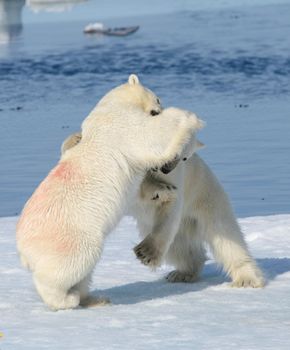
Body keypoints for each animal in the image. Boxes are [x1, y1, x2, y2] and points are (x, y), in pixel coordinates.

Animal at [15, 74, 202, 308]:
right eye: (157, 98)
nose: (160, 107)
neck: (108, 108)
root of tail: (23, 248)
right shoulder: (122, 126)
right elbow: (150, 134)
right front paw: (189, 116)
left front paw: (165, 190)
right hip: (70, 237)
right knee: (69, 266)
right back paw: (67, 298)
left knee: (83, 274)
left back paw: (95, 299)